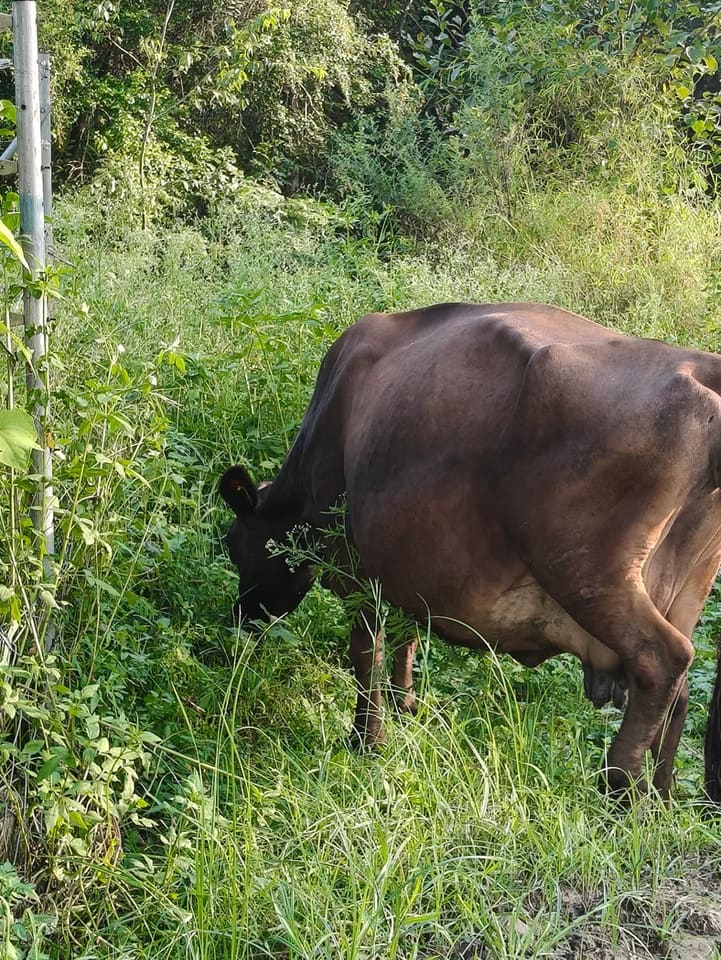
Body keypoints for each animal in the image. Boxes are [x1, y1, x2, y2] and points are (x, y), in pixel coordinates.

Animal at [219, 302, 721, 801]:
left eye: (234, 546)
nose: (241, 618)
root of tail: (698, 366)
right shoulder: (406, 571)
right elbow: (406, 635)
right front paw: (405, 705)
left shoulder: (358, 569)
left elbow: (366, 651)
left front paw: (367, 738)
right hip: (687, 585)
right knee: (681, 692)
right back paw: (663, 791)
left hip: (587, 572)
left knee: (663, 660)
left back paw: (621, 785)